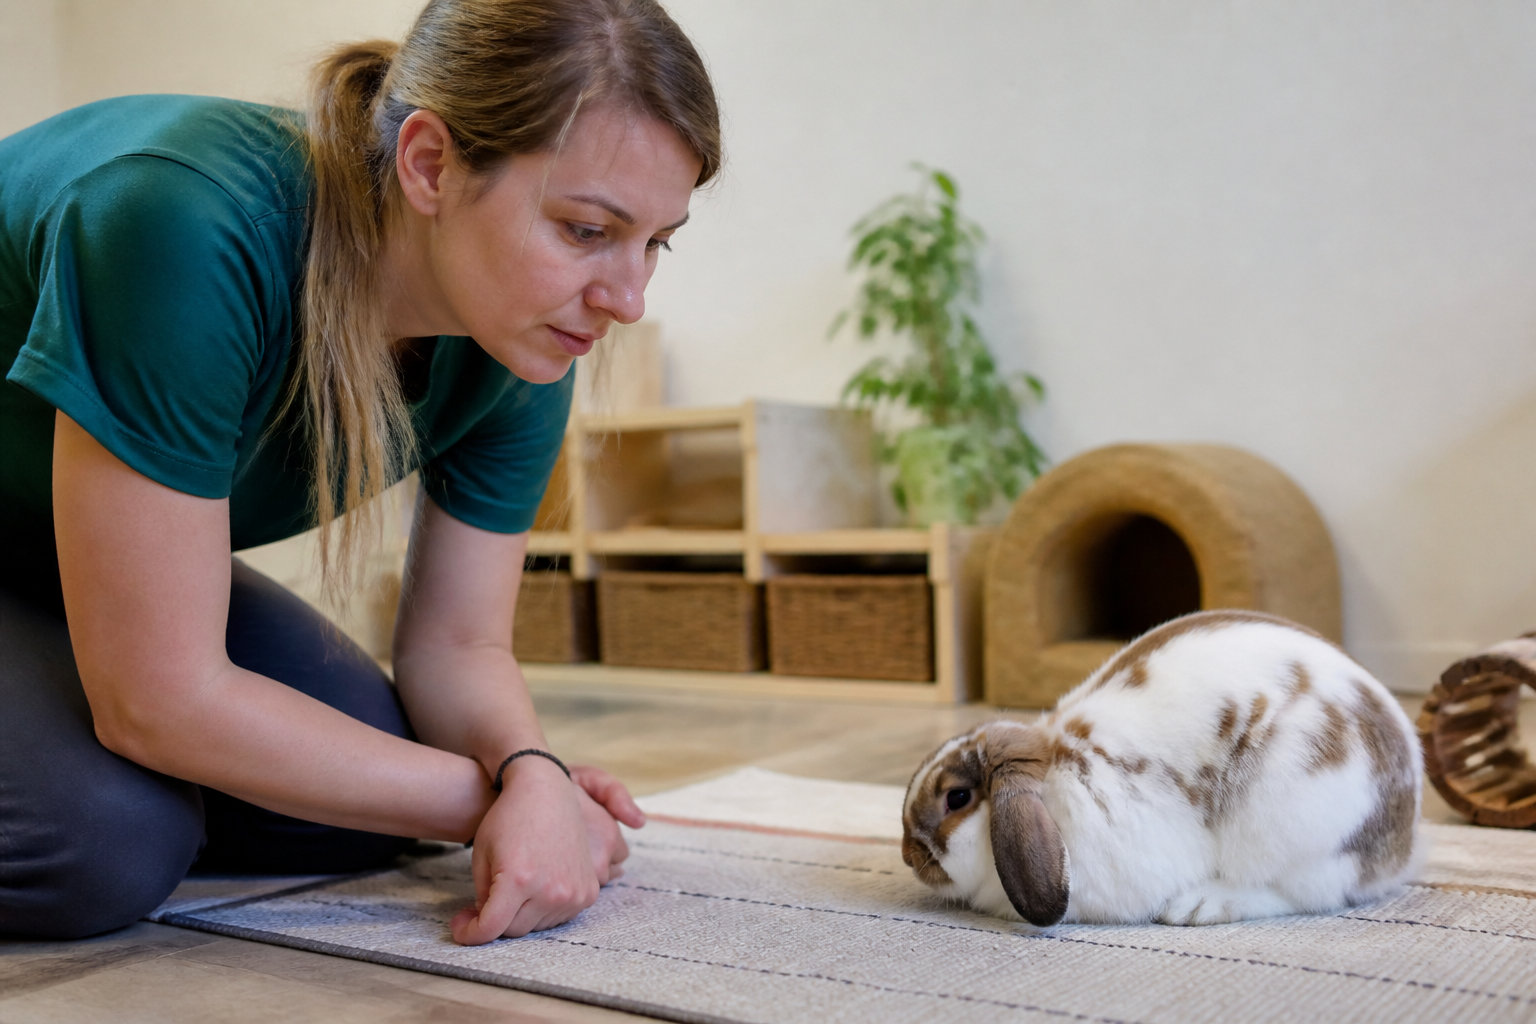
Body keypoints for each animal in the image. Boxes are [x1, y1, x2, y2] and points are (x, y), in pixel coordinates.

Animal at [902, 609, 1423, 927]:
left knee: (1297, 892)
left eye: (957, 799)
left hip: (1290, 826)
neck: (1052, 783)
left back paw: (1196, 906)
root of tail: (1402, 842)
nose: (909, 857)